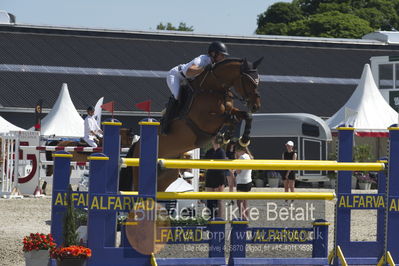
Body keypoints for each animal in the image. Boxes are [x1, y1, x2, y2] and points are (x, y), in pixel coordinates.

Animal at [122, 57, 266, 192]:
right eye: (249, 81)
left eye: (258, 81)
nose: (256, 106)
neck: (213, 89)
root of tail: (136, 145)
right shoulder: (205, 121)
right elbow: (230, 118)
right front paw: (230, 136)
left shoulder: (230, 111)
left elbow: (245, 116)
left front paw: (241, 139)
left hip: (165, 177)